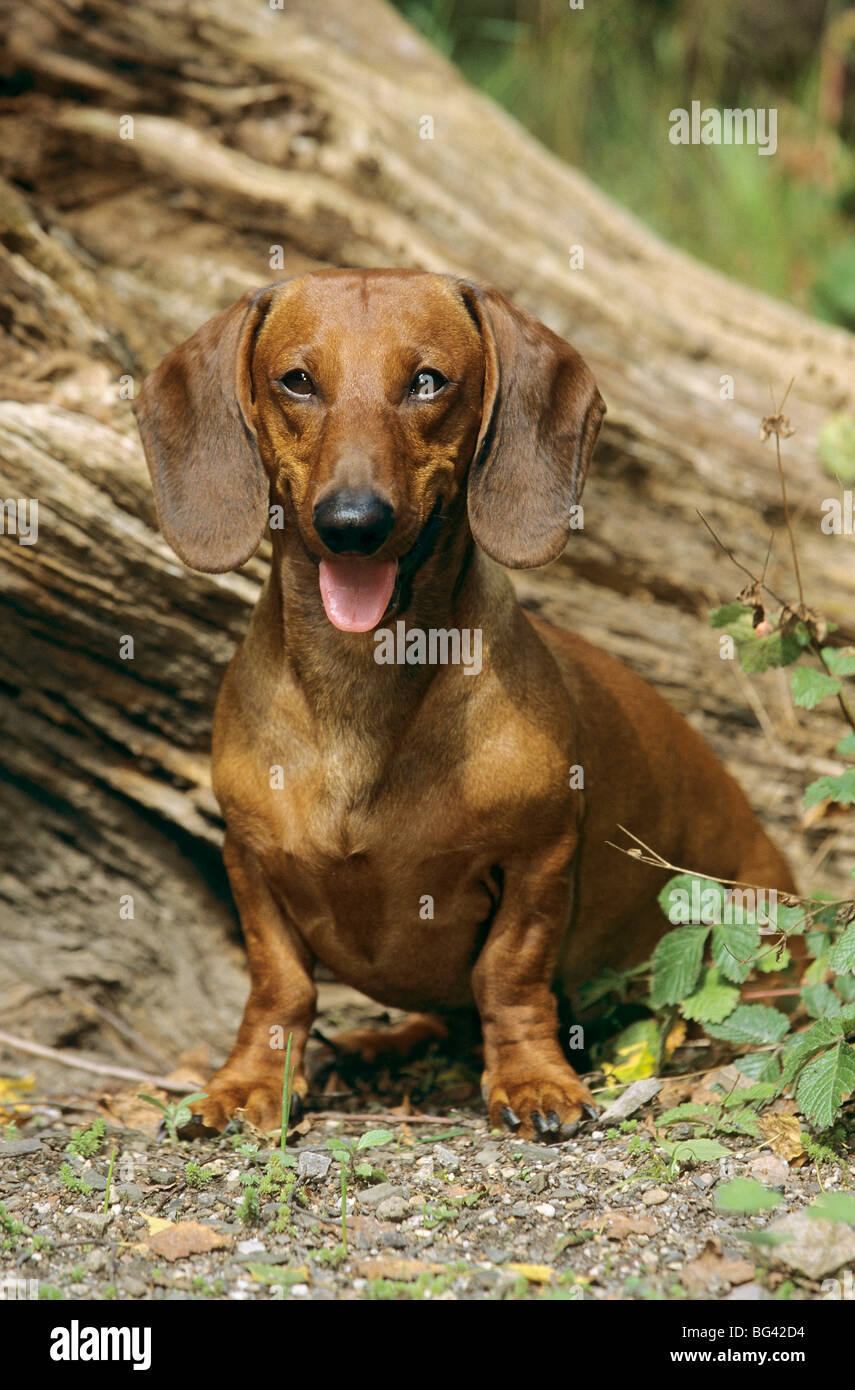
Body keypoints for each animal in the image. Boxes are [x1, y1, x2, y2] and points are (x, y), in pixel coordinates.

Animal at [133, 268, 795, 1139]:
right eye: (297, 380)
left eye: (426, 382)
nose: (352, 524)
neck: (364, 681)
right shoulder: (248, 859)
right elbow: (280, 987)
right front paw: (249, 1085)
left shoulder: (538, 859)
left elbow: (506, 976)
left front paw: (532, 1079)